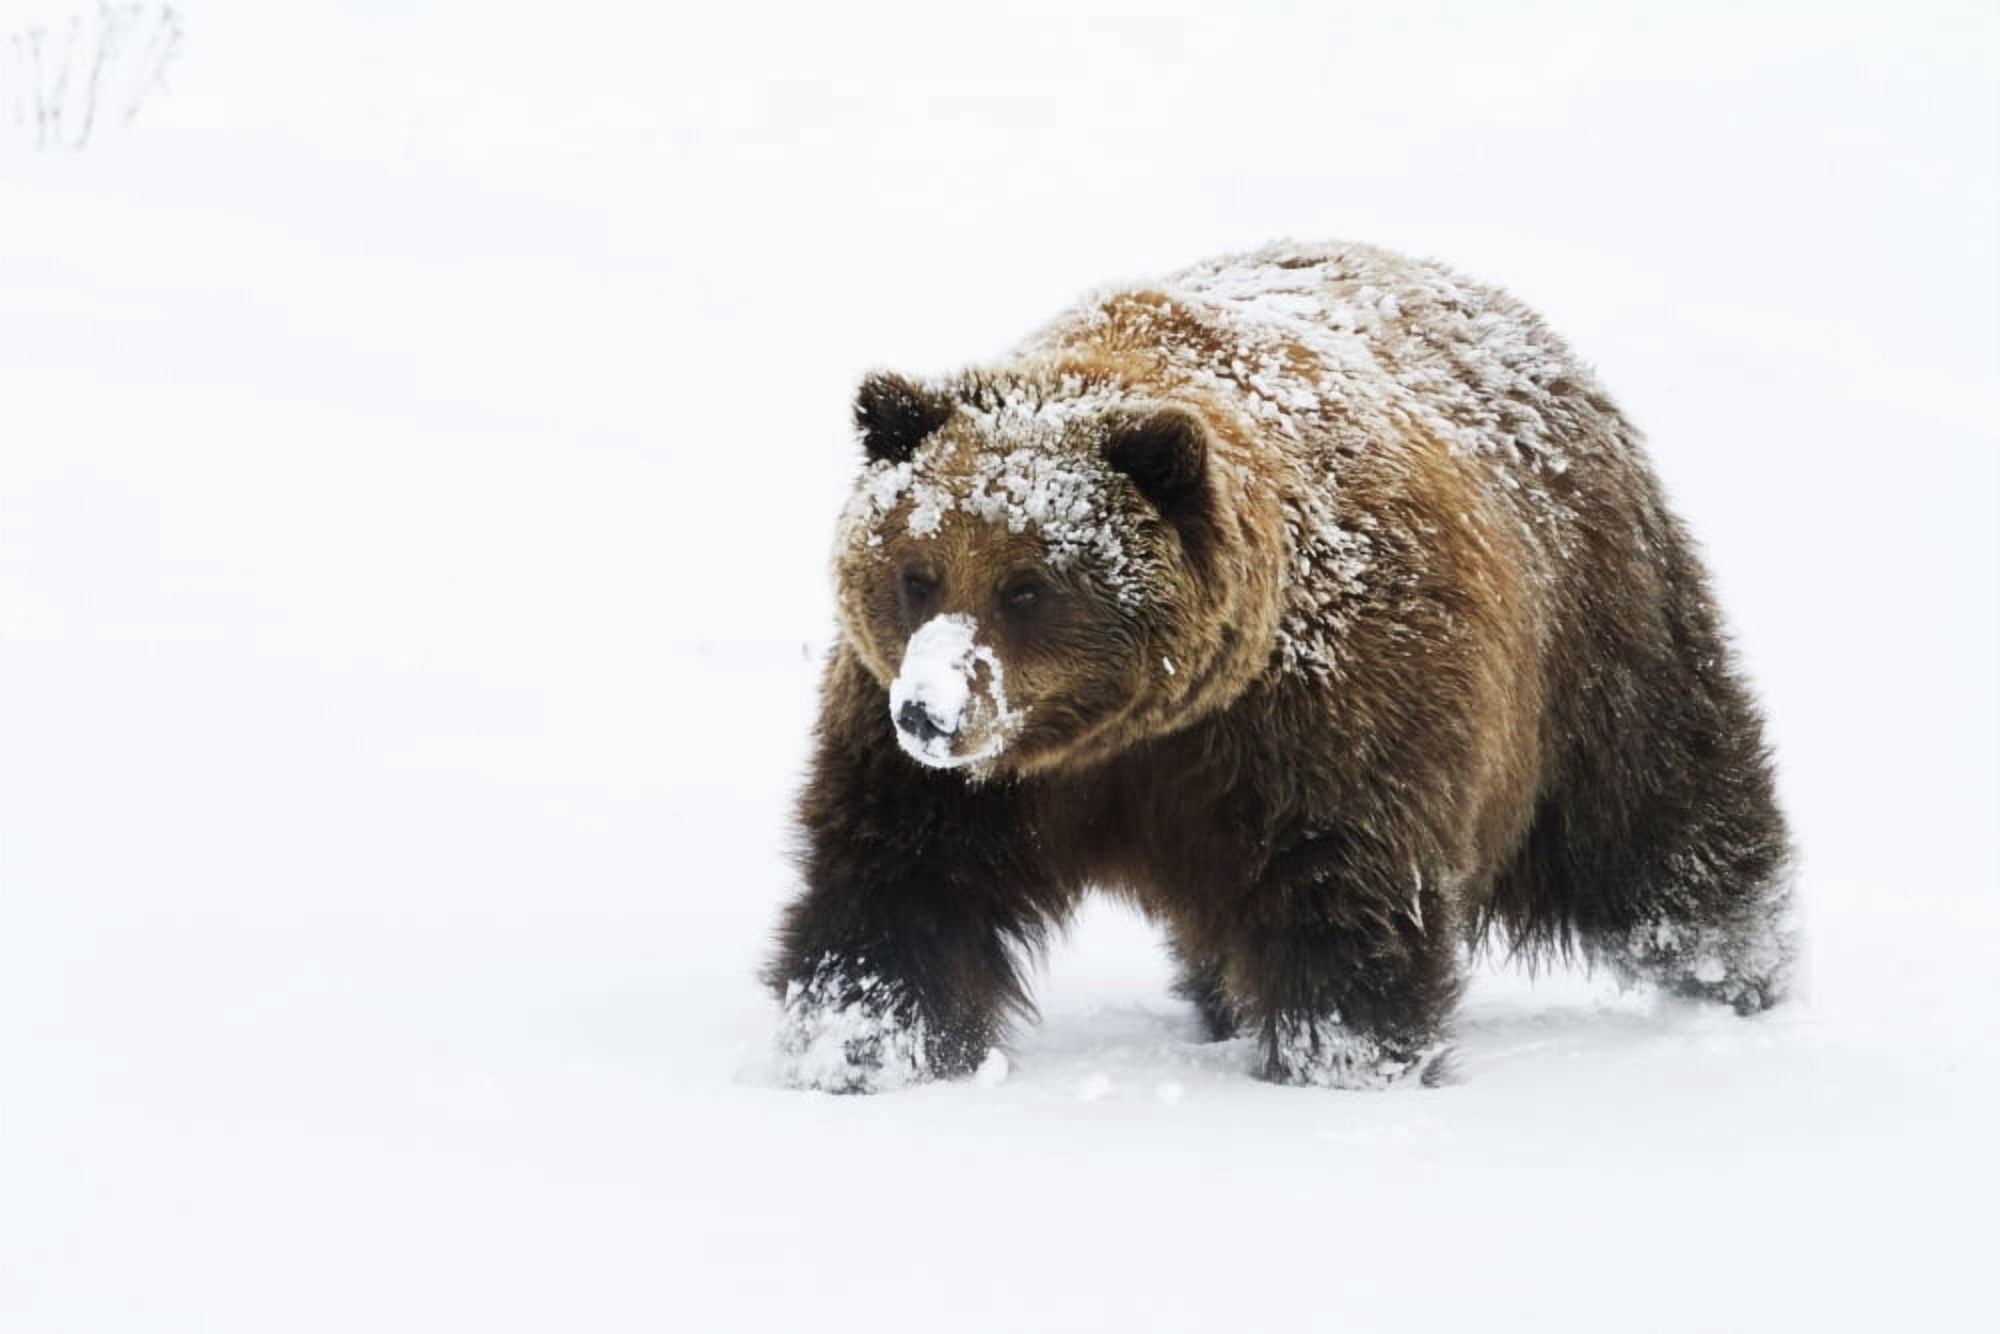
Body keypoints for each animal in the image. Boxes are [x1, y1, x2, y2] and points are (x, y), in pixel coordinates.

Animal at [765, 240, 1795, 1092]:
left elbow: (1339, 900)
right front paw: (856, 1046)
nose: (930, 714)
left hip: (1593, 643)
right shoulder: (952, 769)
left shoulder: (1323, 726)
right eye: (915, 572)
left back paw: (1737, 970)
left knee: (1660, 816)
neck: (1131, 731)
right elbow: (899, 883)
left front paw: (1345, 1056)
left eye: (1029, 586)